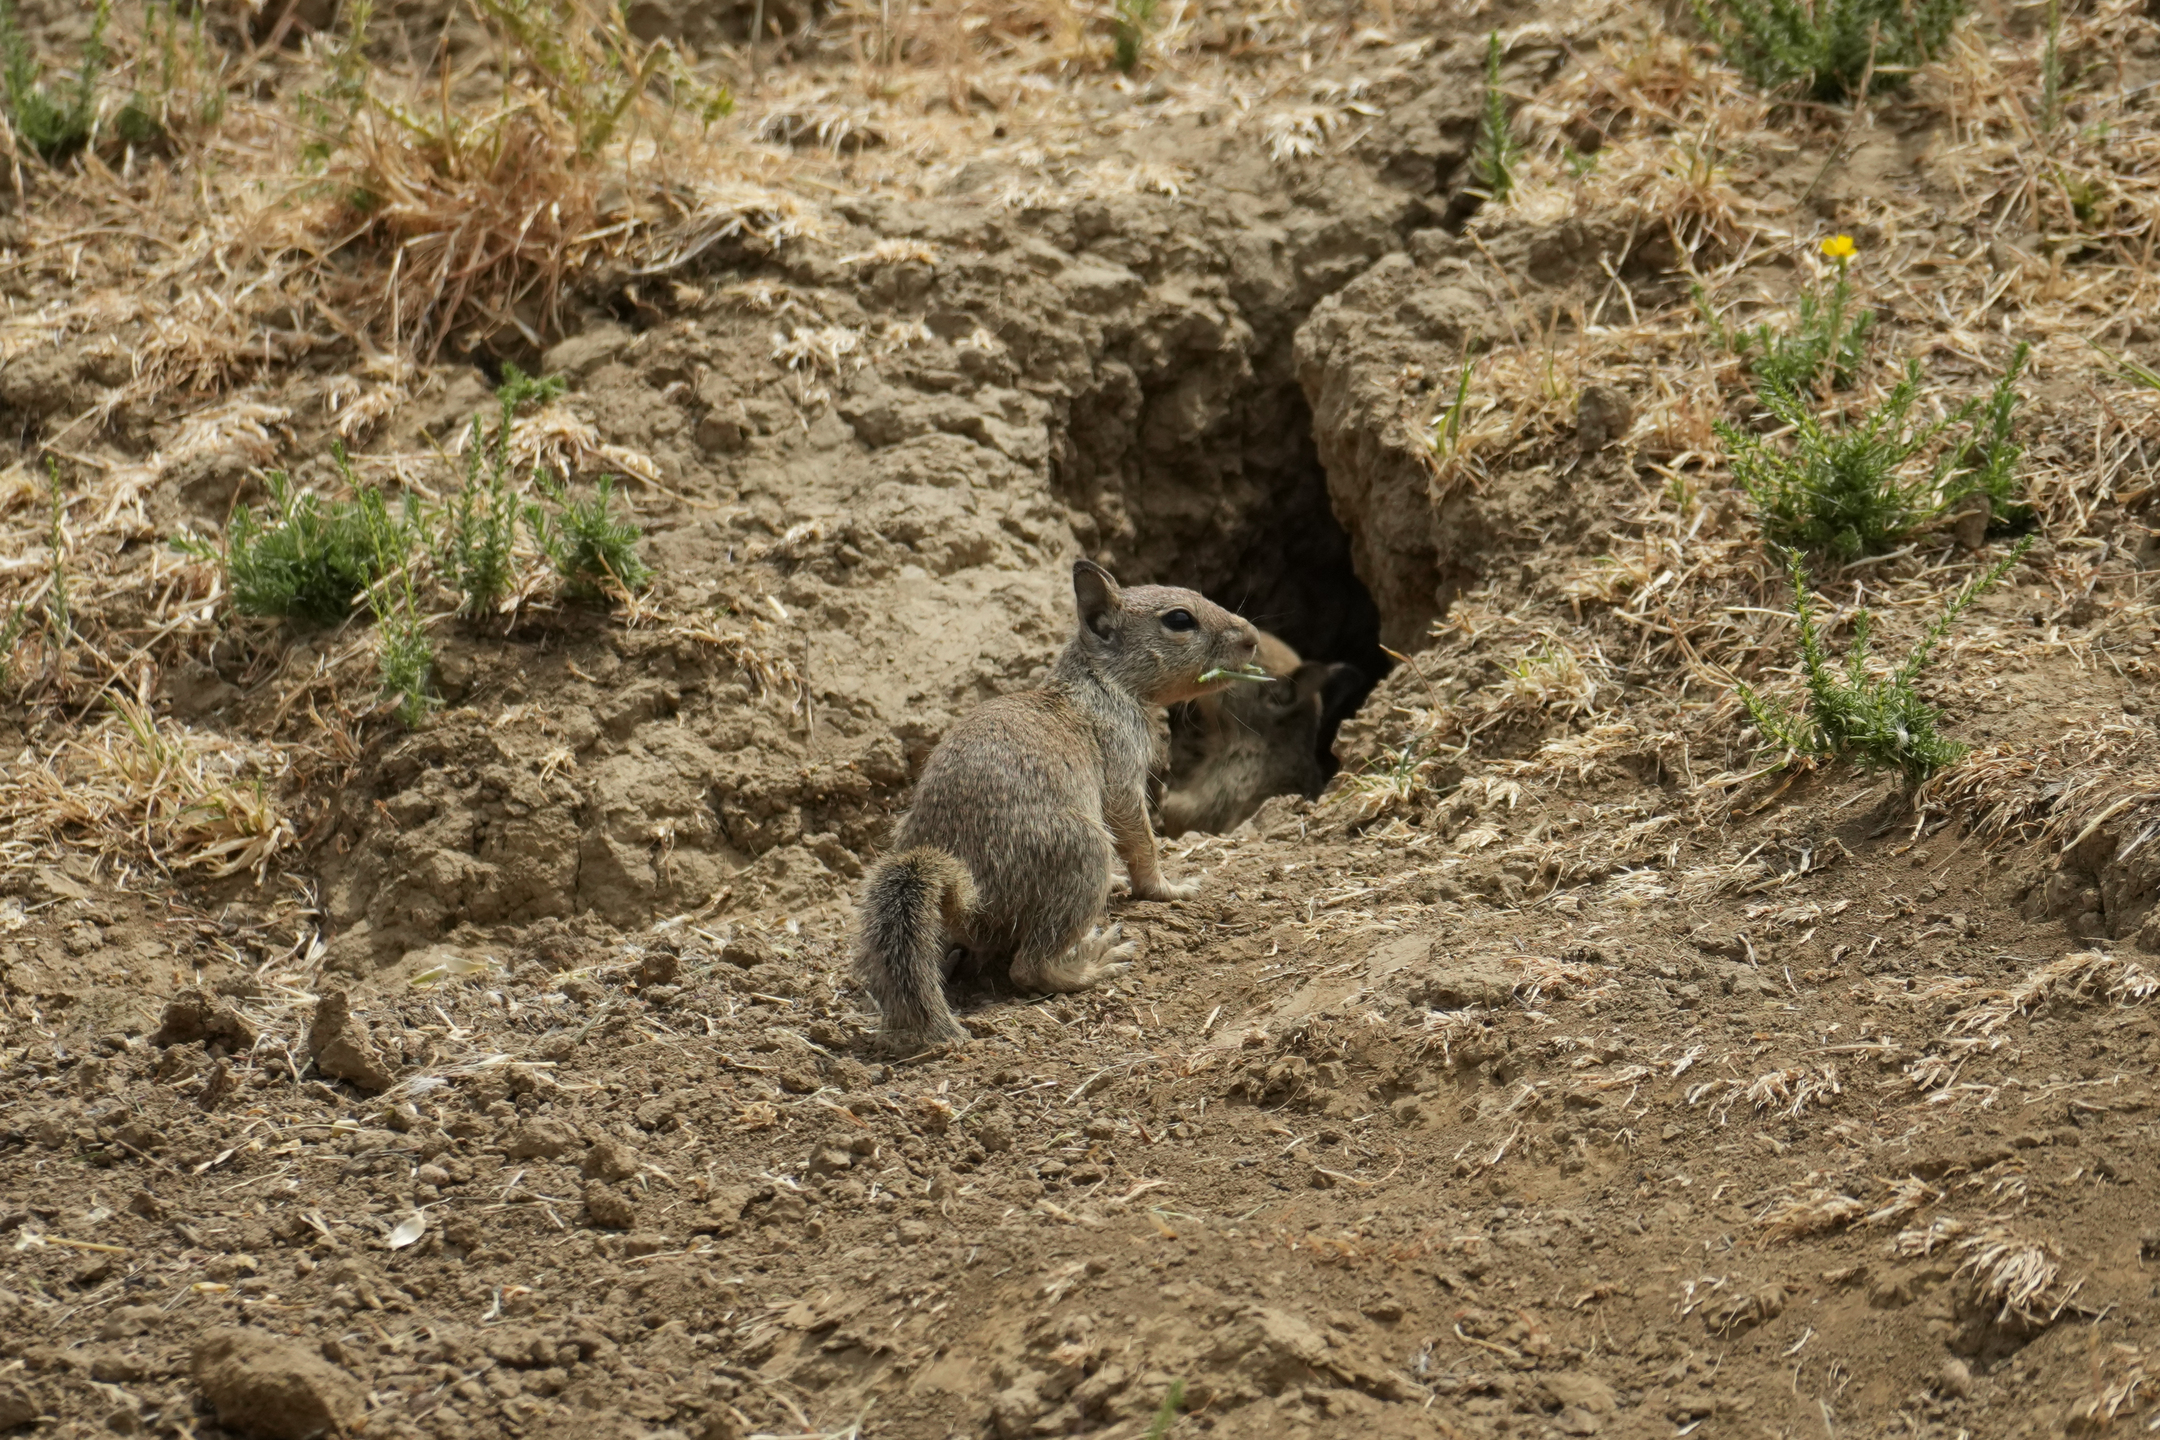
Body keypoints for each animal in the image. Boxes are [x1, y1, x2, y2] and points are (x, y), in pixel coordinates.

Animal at [854, 560, 1260, 1049]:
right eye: (1180, 619)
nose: (1252, 637)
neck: (1100, 682)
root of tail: (968, 897)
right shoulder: (1122, 761)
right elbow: (1138, 836)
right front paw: (1167, 887)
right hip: (1082, 853)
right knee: (1029, 968)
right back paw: (1092, 962)